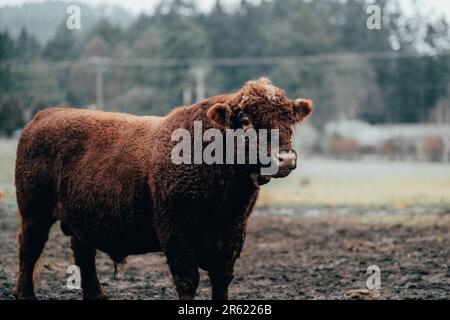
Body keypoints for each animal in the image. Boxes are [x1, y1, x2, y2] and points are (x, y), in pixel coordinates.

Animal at [12, 77, 312, 300]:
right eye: (247, 122)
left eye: (289, 120)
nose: (285, 159)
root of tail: (45, 115)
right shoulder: (175, 231)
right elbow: (188, 280)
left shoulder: (233, 234)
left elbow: (222, 279)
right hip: (34, 213)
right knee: (29, 249)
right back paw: (25, 294)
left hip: (79, 219)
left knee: (83, 253)